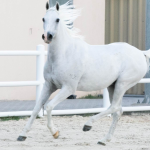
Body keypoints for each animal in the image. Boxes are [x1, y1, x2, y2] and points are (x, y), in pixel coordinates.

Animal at [17, 1, 150, 145]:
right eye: (43, 19)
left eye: (57, 19)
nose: (47, 36)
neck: (64, 54)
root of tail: (141, 53)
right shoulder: (49, 85)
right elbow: (36, 108)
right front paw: (22, 135)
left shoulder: (68, 88)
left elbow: (48, 106)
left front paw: (55, 133)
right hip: (112, 86)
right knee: (118, 111)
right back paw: (104, 140)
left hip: (122, 84)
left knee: (114, 107)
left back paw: (88, 125)